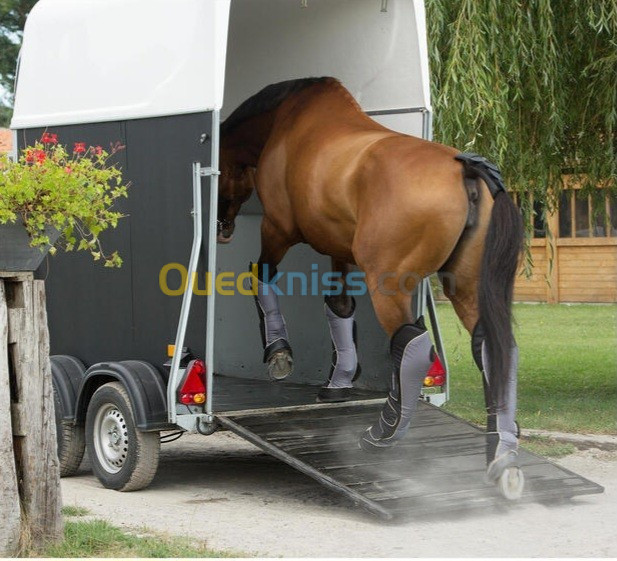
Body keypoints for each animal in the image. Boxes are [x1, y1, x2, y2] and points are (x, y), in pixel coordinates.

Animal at [219, 75, 524, 494]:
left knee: (411, 343)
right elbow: (339, 306)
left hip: (389, 284)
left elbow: (261, 276)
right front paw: (339, 381)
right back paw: (502, 454)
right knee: (494, 346)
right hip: (464, 286)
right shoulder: (338, 248)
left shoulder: (277, 228)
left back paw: (384, 434)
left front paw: (279, 353)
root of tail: (464, 169)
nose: (221, 226)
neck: (286, 123)